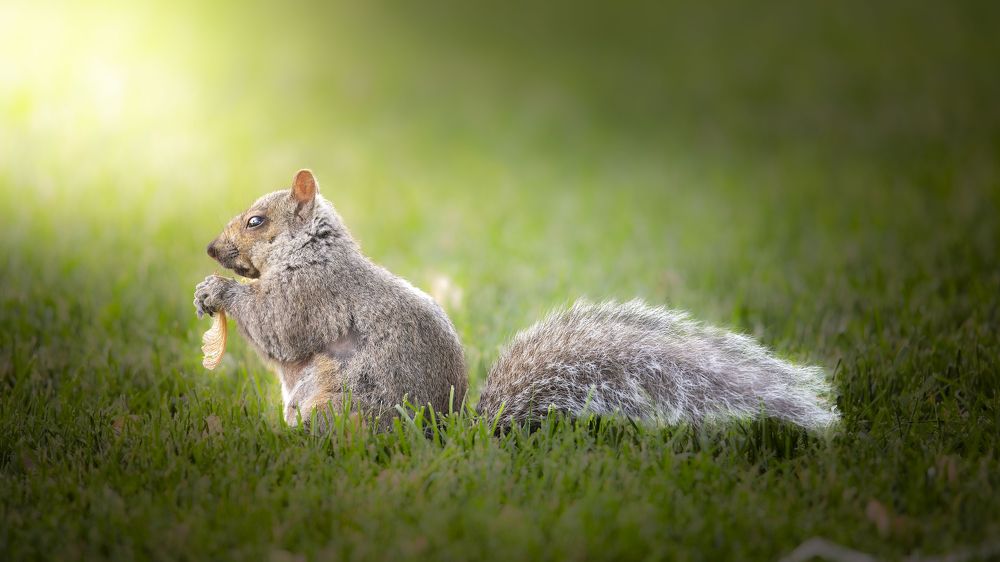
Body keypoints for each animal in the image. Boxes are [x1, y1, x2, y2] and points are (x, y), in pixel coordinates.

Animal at [194, 169, 839, 431]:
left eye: (256, 221)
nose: (210, 249)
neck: (310, 250)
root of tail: (448, 434)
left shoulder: (314, 294)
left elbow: (280, 327)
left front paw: (217, 291)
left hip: (342, 400)